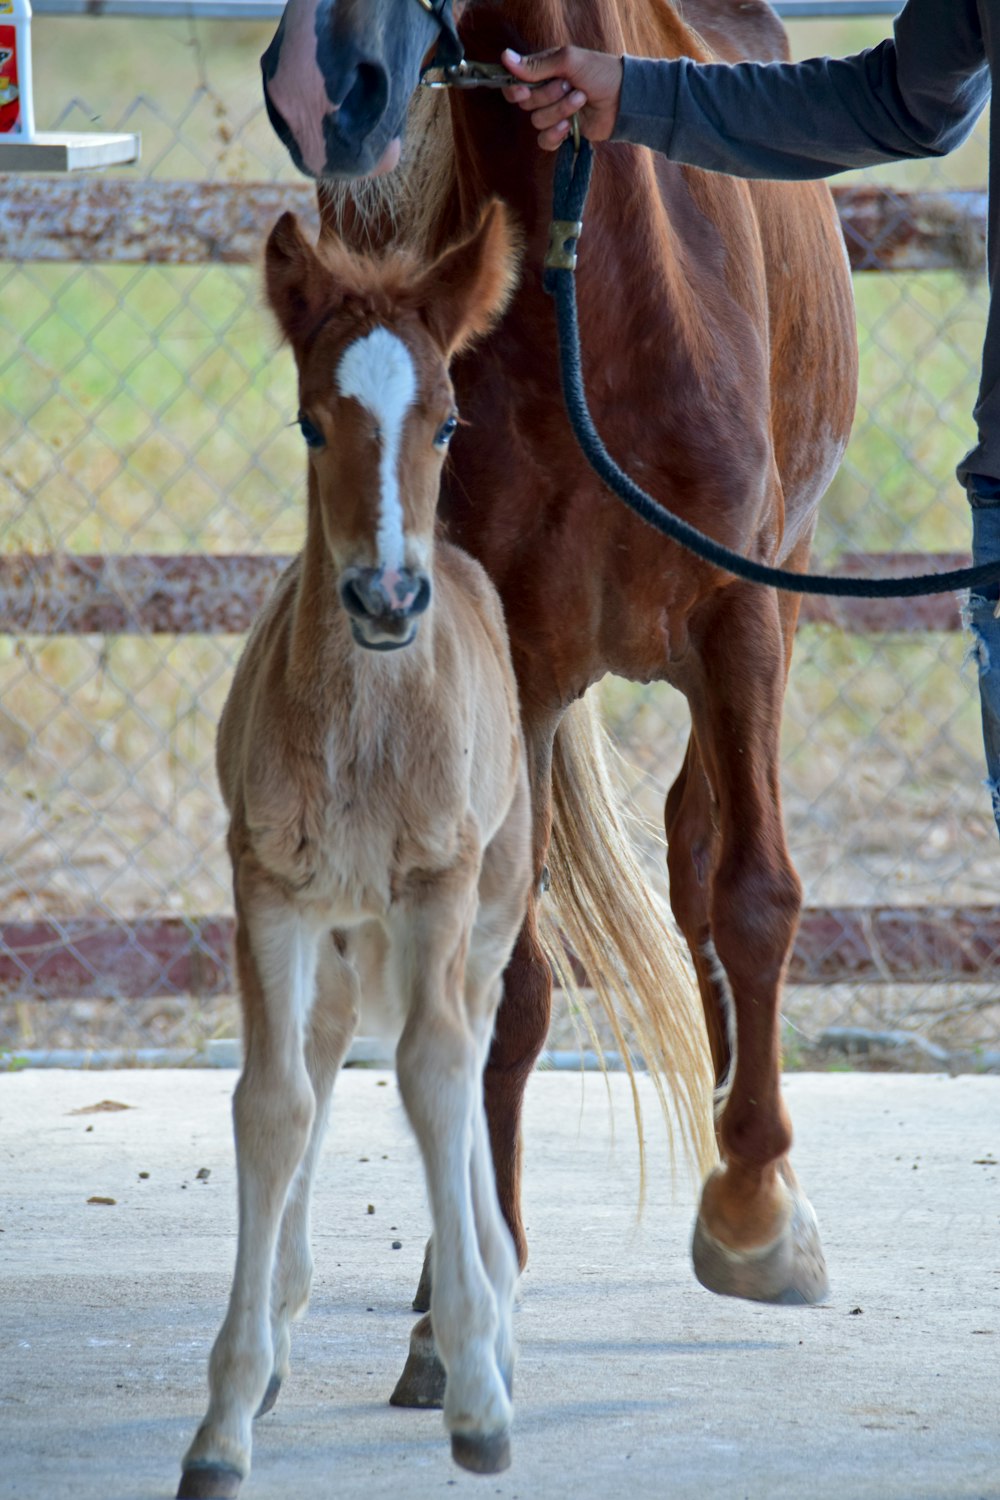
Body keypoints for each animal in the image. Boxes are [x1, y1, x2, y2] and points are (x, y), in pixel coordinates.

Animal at [177, 202, 530, 1500]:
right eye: (310, 421)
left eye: (448, 420)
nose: (385, 597)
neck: (369, 730)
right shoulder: (267, 894)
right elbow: (273, 1104)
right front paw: (225, 1418)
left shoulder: (438, 891)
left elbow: (433, 1074)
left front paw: (475, 1394)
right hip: (334, 928)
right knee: (326, 1053)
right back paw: (286, 1316)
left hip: (490, 908)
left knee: (470, 1047)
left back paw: (496, 1294)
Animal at [262, 0, 857, 1314]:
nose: (319, 89)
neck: (601, 309)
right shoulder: (521, 667)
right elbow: (510, 977)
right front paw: (472, 1269)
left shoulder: (741, 623)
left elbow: (752, 894)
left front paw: (753, 1212)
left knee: (700, 851)